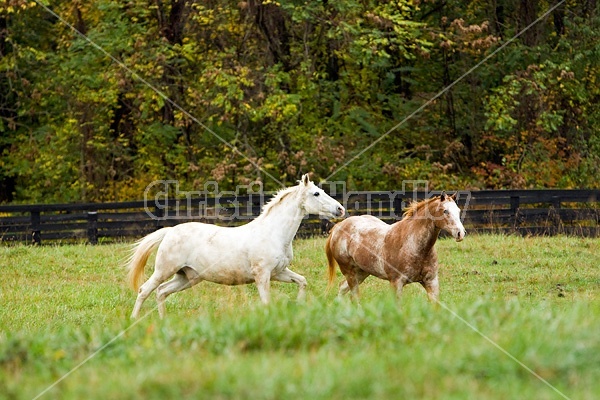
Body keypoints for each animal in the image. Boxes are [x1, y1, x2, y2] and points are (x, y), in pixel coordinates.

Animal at [127, 174, 344, 318]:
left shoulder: (278, 272)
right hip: (164, 270)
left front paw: (299, 305)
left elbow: (302, 281)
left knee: (161, 291)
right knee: (145, 290)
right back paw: (134, 320)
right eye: (316, 193)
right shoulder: (262, 275)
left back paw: (163, 321)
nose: (340, 209)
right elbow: (266, 302)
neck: (274, 233)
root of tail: (170, 231)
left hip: (187, 277)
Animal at [326, 192, 466, 302]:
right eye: (445, 211)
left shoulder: (432, 283)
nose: (461, 233)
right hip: (350, 273)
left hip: (361, 272)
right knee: (354, 296)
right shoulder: (396, 283)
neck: (415, 247)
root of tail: (337, 228)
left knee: (343, 288)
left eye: (458, 211)